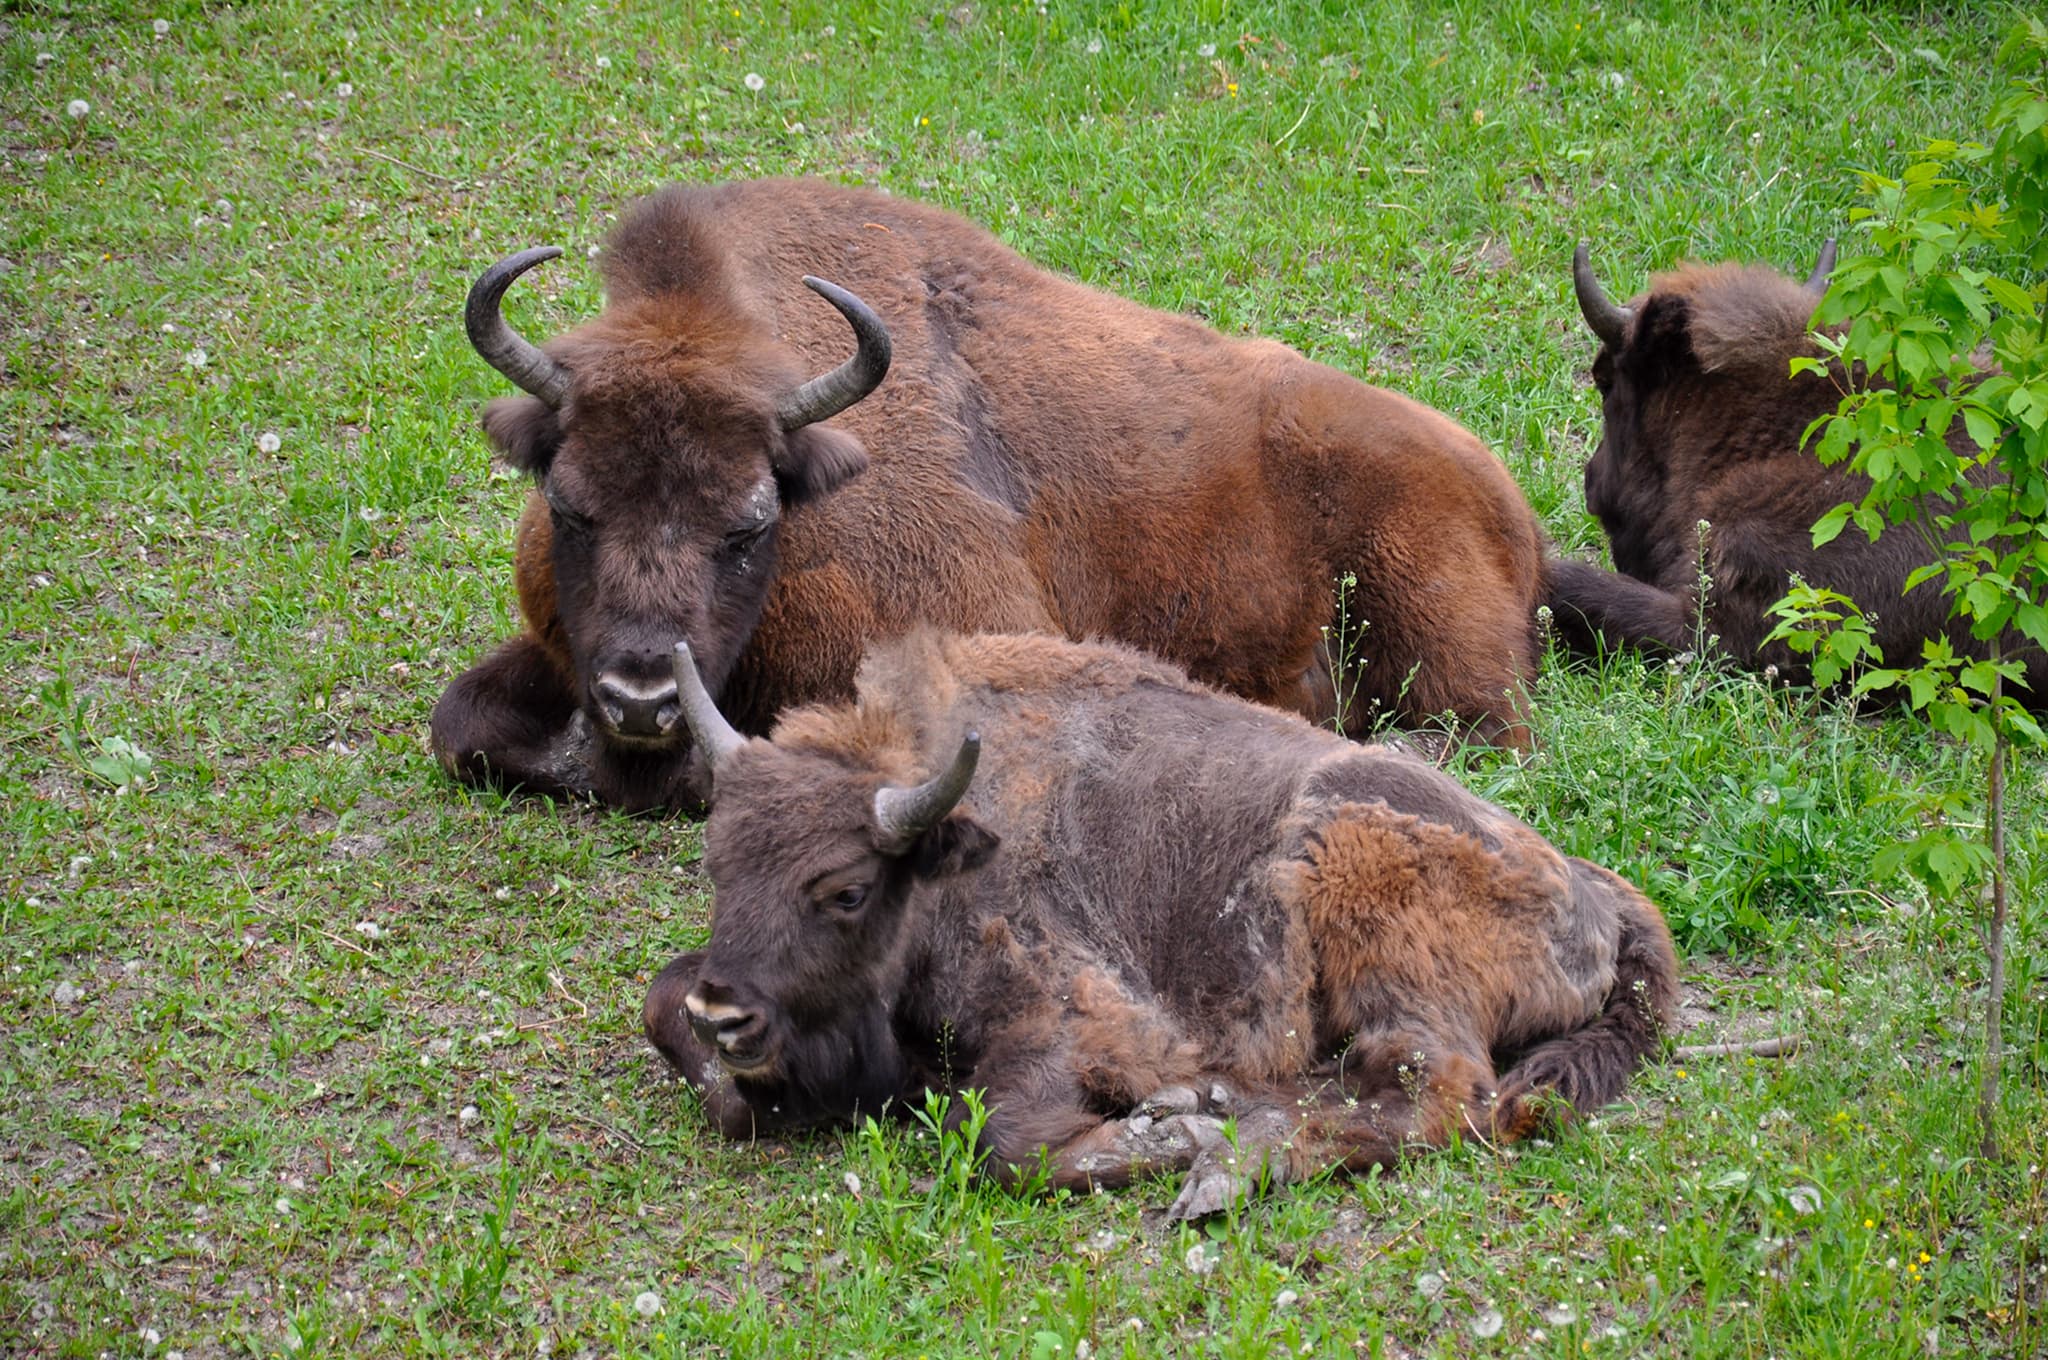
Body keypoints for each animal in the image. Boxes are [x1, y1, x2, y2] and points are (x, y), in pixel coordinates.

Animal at [643, 629, 1678, 1219]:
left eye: (848, 890)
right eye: (717, 861)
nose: (725, 1016)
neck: (952, 845)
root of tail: (1596, 893)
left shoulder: (1079, 1020)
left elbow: (1002, 1143)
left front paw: (1173, 1131)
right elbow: (663, 1013)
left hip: (1361, 903)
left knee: (1434, 1092)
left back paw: (1224, 1161)